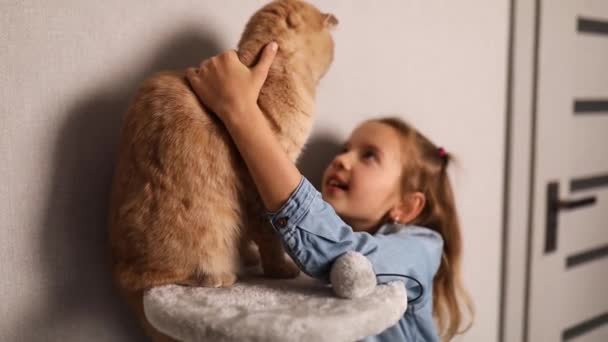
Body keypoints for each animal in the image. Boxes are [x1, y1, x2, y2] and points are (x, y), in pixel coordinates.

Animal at [109, 1, 338, 340]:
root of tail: (119, 270)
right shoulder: (260, 191)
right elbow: (270, 239)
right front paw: (279, 269)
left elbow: (250, 238)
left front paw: (250, 256)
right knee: (158, 277)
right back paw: (218, 277)